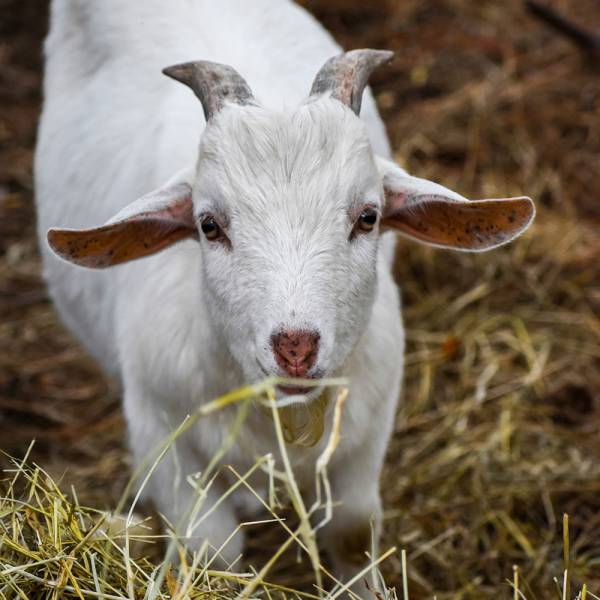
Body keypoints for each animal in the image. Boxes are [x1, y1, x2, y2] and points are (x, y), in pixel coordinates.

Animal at [36, 0, 536, 588]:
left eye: (368, 217)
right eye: (209, 225)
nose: (295, 346)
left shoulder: (368, 428)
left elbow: (353, 530)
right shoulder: (163, 437)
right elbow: (212, 554)